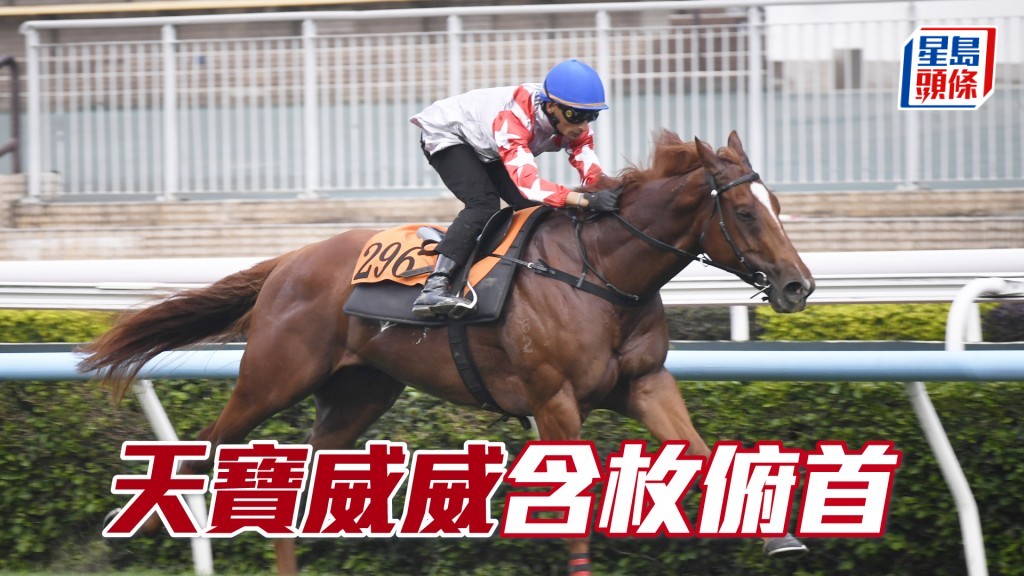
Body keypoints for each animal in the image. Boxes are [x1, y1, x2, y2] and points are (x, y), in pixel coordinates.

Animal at [80, 130, 815, 574]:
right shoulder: (554, 401)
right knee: (205, 448)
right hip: (271, 380)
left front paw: (776, 532)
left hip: (359, 396)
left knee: (298, 491)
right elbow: (576, 510)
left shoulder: (645, 383)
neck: (601, 274)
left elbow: (699, 450)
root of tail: (290, 260)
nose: (798, 284)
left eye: (777, 203)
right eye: (745, 213)